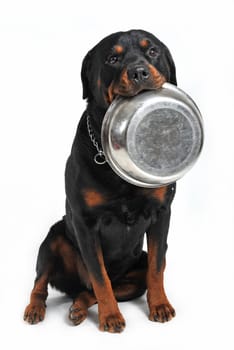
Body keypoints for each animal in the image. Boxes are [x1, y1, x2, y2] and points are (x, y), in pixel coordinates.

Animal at [23, 28, 177, 332]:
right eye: (113, 58)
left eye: (152, 51)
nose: (139, 71)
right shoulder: (86, 223)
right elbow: (99, 276)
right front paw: (110, 317)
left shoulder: (161, 213)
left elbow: (157, 266)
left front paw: (160, 306)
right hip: (55, 237)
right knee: (43, 282)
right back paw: (35, 308)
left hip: (135, 270)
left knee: (93, 289)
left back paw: (78, 308)